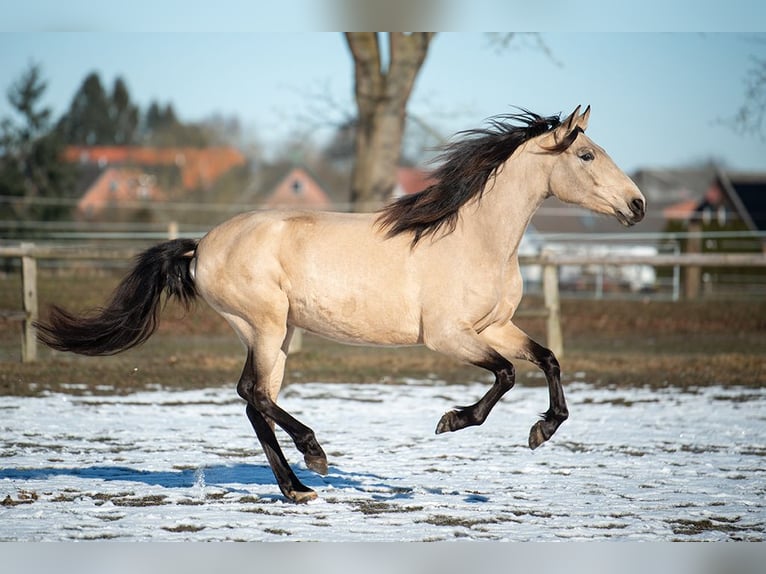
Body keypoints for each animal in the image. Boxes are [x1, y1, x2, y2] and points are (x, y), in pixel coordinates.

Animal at [36, 106, 648, 502]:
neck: (475, 239)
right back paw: (313, 458)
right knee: (254, 394)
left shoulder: (496, 325)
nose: (638, 205)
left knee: (253, 399)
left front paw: (543, 430)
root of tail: (202, 245)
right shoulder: (448, 336)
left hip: (276, 334)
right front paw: (452, 421)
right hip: (264, 325)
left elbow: (546, 359)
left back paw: (297, 487)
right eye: (587, 154)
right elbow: (504, 376)